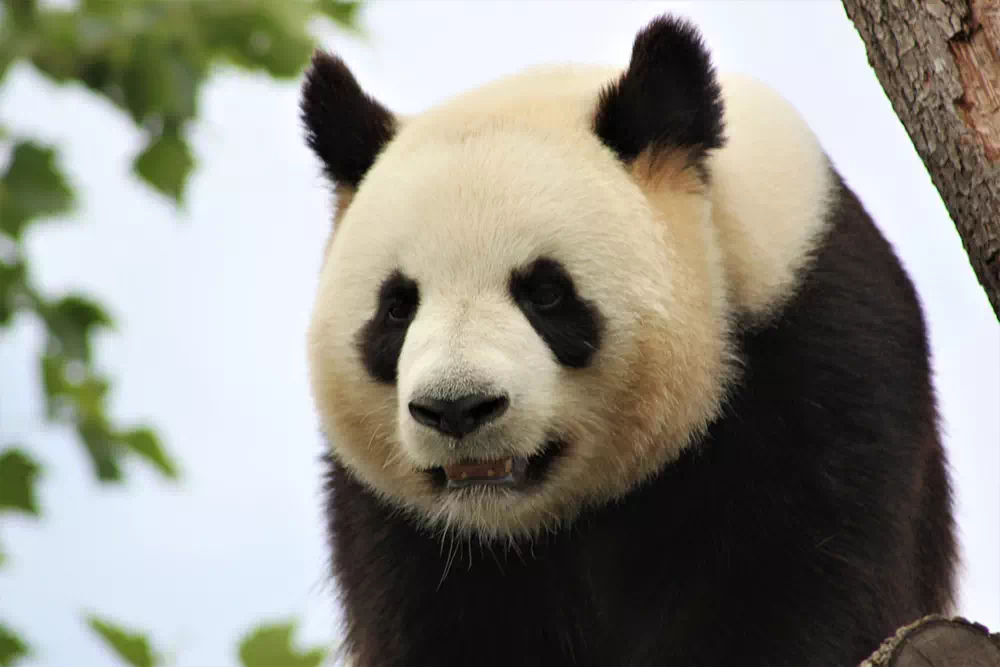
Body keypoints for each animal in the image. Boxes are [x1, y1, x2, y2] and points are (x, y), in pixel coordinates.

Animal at [300, 14, 956, 667]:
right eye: (396, 308)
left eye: (547, 294)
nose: (457, 408)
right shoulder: (406, 528)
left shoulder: (816, 358)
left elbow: (801, 574)